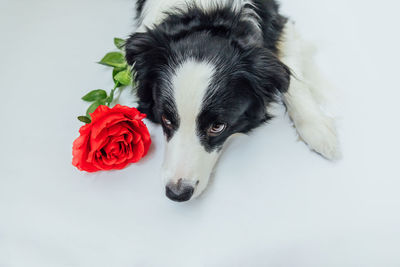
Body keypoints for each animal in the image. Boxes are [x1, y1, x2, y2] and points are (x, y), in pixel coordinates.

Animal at [125, 0, 340, 202]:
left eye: (217, 127)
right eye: (166, 119)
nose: (177, 193)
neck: (210, 11)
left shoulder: (281, 25)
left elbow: (291, 74)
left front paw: (317, 130)